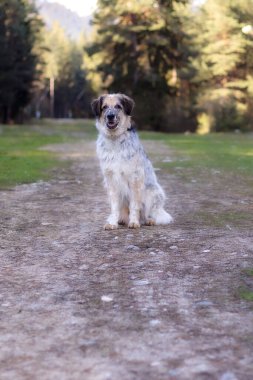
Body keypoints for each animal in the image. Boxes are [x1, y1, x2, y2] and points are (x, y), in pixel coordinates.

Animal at [91, 93, 174, 230]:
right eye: (104, 107)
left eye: (118, 106)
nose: (110, 116)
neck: (115, 140)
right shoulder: (111, 181)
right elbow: (114, 207)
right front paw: (112, 223)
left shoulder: (135, 179)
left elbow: (135, 205)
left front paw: (134, 222)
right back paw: (121, 220)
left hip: (153, 192)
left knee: (153, 214)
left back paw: (149, 220)